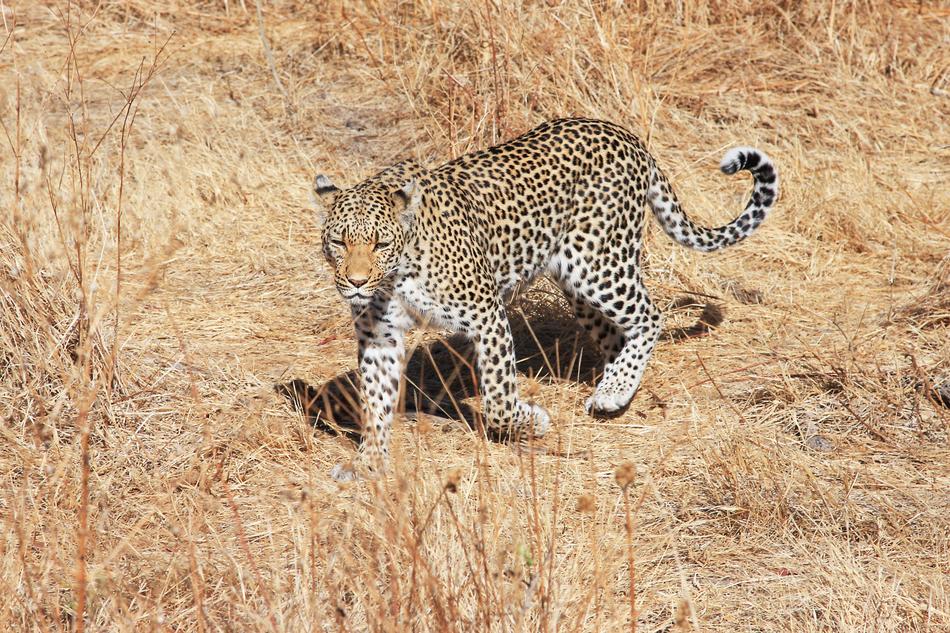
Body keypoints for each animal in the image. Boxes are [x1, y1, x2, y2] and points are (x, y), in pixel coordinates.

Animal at [313, 117, 778, 481]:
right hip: (579, 285)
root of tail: (626, 136)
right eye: (338, 241)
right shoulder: (379, 336)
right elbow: (375, 402)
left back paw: (614, 391)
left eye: (379, 243)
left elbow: (498, 397)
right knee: (616, 335)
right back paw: (614, 387)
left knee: (650, 316)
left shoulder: (486, 314)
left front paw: (529, 422)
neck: (396, 273)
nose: (355, 283)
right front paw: (369, 461)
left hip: (598, 265)